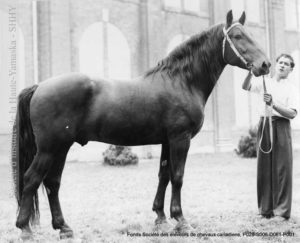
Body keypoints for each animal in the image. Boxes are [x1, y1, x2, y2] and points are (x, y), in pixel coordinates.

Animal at [11, 10, 270, 238]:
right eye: (237, 36)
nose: (265, 64)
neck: (181, 82)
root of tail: (39, 86)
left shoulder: (167, 141)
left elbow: (163, 175)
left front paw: (160, 217)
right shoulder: (180, 139)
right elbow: (177, 176)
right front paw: (181, 220)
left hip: (61, 148)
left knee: (52, 183)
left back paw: (64, 227)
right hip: (50, 148)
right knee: (32, 179)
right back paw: (25, 228)